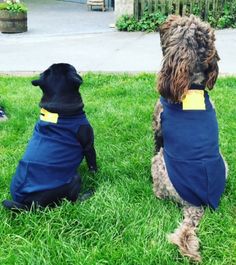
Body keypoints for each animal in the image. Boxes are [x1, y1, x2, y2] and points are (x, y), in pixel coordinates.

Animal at [2, 63, 97, 209]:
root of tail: (27, 204)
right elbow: (93, 165)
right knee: (71, 201)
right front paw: (96, 178)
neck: (58, 107)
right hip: (75, 179)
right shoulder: (89, 146)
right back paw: (88, 194)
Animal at [152, 15, 228, 260]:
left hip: (159, 164)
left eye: (179, 25)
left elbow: (156, 141)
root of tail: (197, 205)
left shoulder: (157, 126)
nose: (167, 19)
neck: (192, 85)